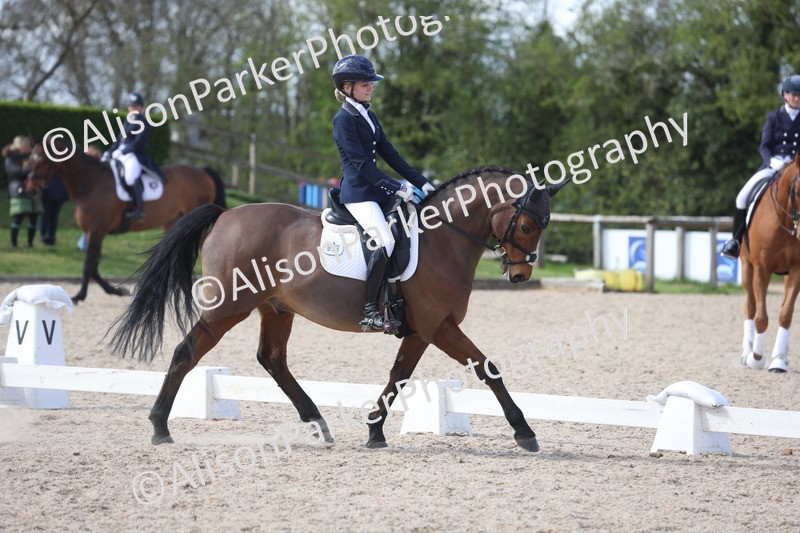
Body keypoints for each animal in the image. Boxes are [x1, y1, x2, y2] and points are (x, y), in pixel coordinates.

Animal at [25, 141, 226, 303]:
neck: (89, 182)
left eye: (41, 161)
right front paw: (115, 291)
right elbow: (94, 264)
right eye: (30, 159)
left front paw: (79, 296)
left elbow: (88, 264)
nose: (30, 189)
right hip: (174, 223)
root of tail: (203, 172)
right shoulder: (96, 232)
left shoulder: (96, 230)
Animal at [107, 167, 567, 452]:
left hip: (276, 309)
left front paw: (375, 431)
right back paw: (160, 427)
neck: (443, 238)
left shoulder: (423, 329)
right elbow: (488, 368)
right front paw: (524, 431)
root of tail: (224, 216)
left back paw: (317, 425)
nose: (520, 275)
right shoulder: (438, 326)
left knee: (272, 359)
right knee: (186, 353)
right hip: (227, 308)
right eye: (529, 224)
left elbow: (398, 376)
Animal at [740, 152, 800, 373]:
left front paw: (779, 362)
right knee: (750, 306)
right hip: (746, 267)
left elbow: (786, 314)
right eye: (797, 191)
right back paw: (746, 353)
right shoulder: (761, 269)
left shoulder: (796, 270)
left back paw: (780, 355)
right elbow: (761, 317)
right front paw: (756, 358)